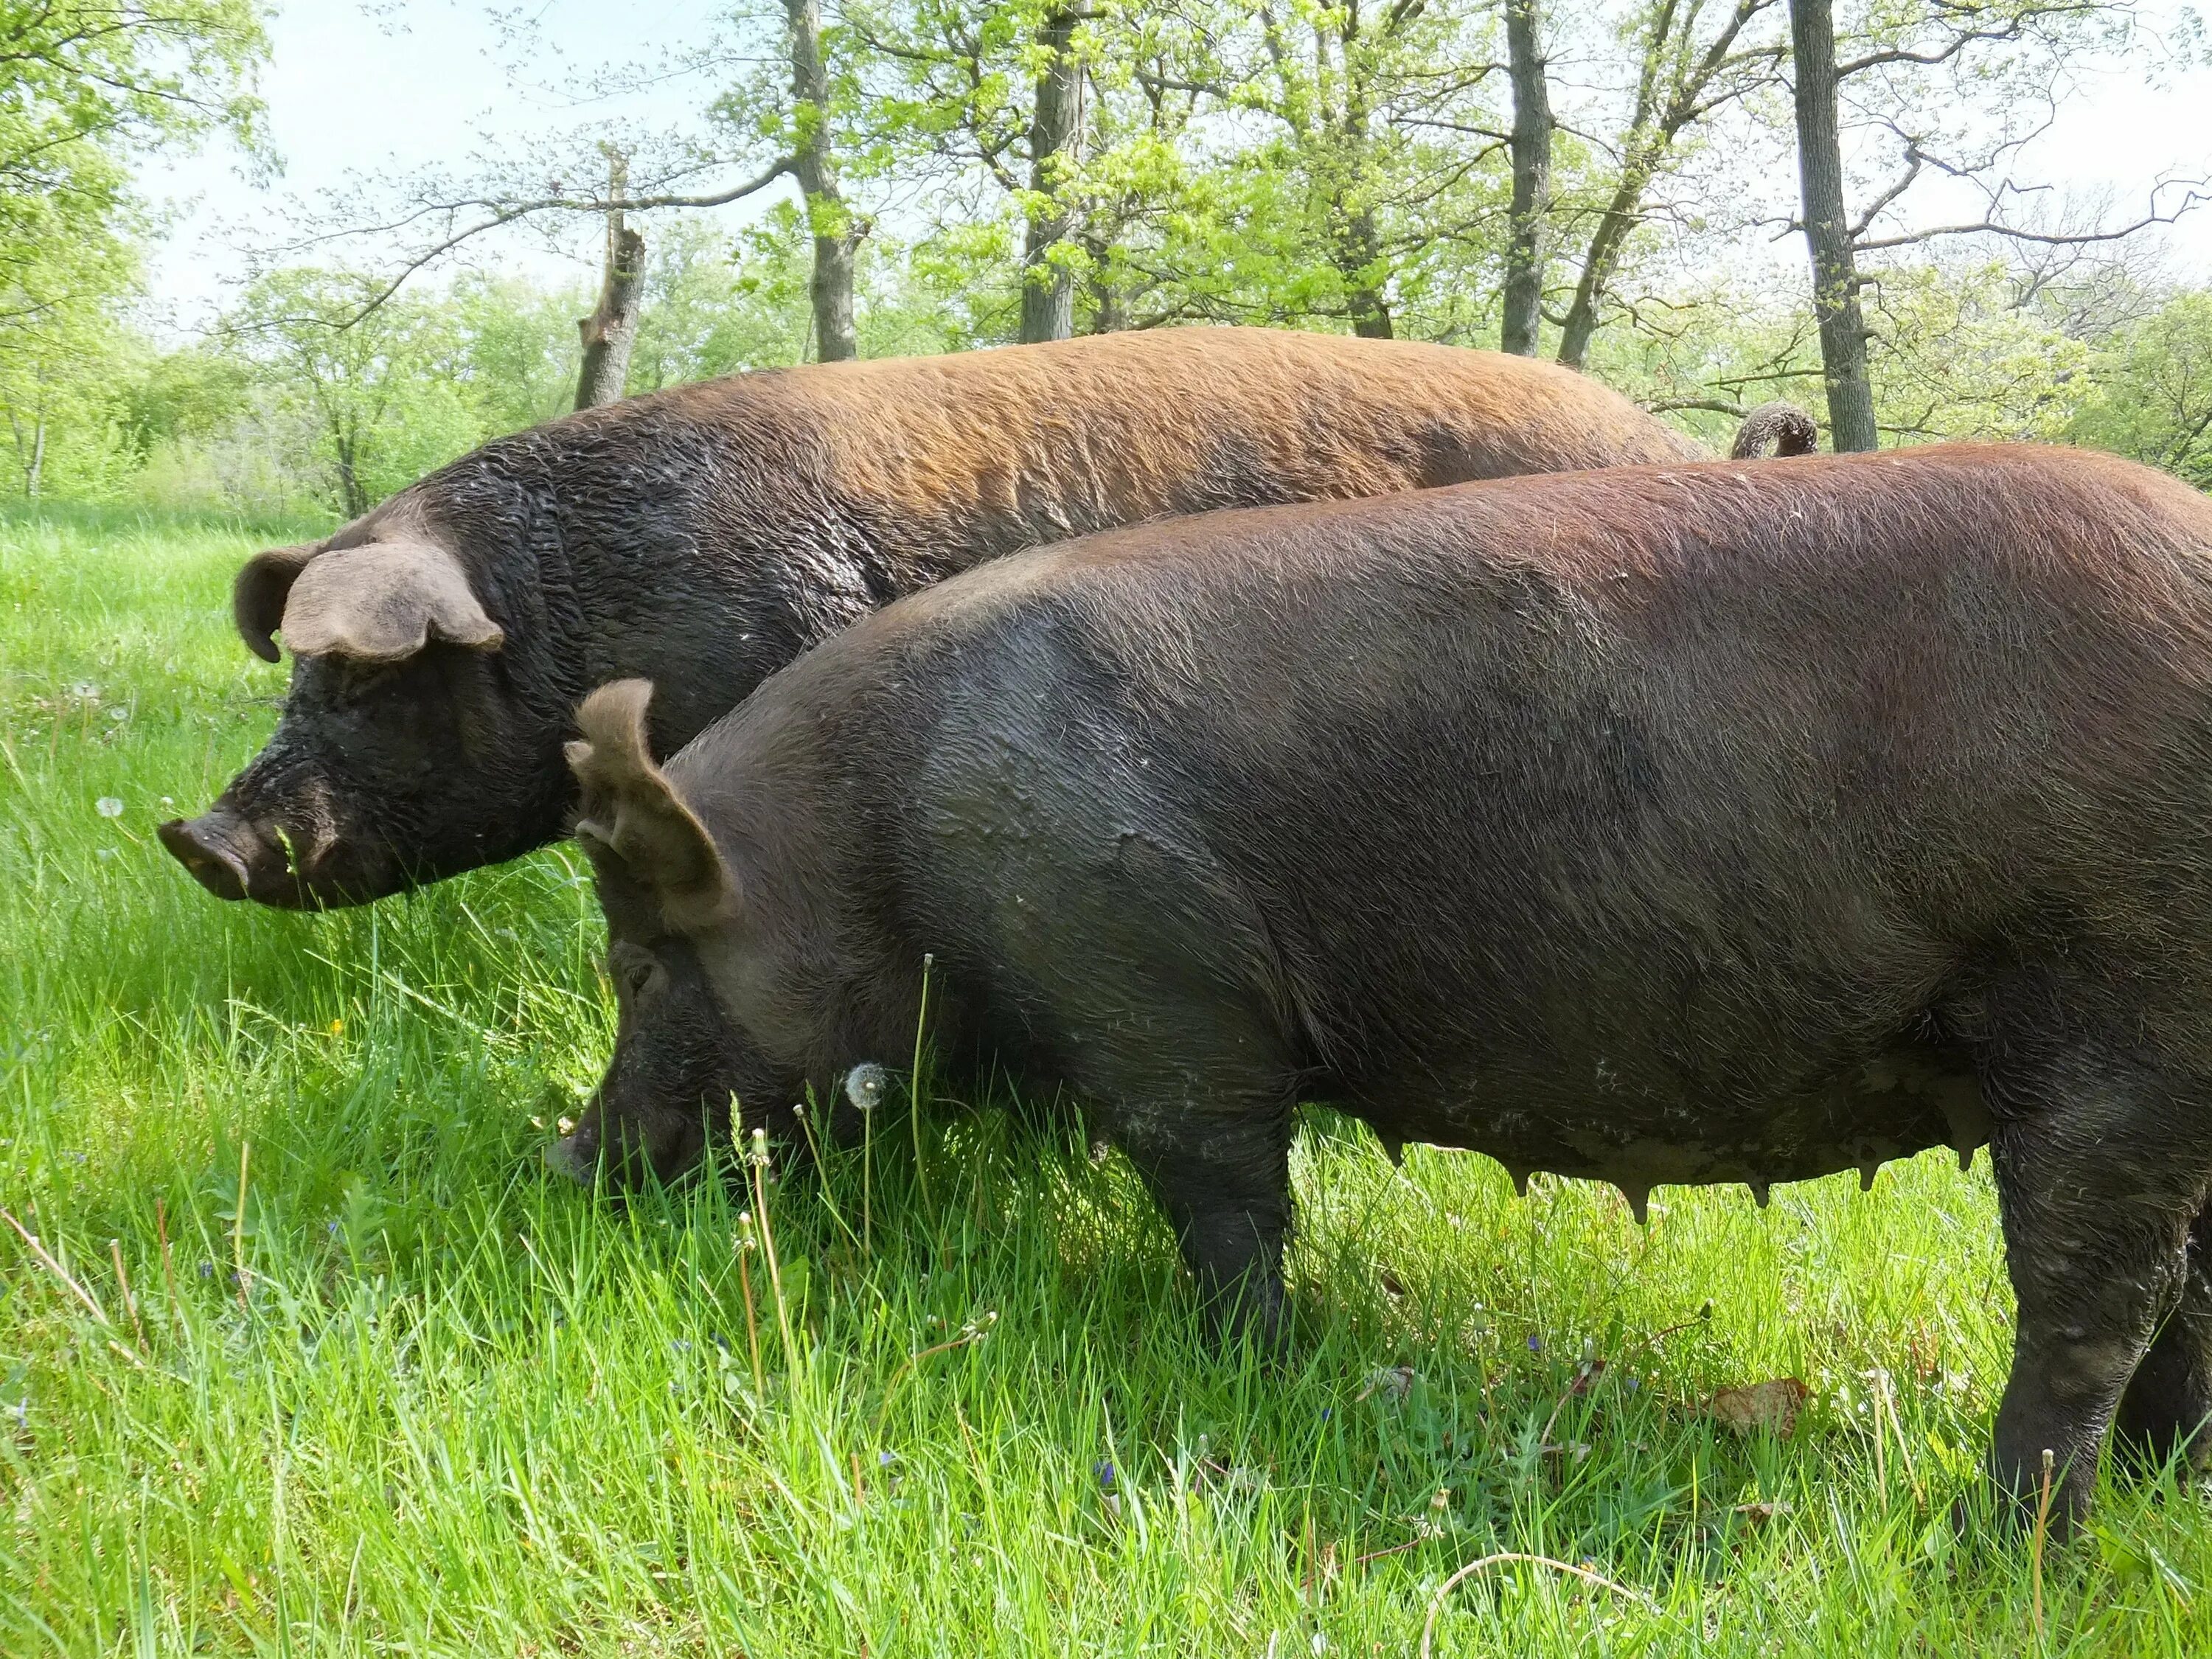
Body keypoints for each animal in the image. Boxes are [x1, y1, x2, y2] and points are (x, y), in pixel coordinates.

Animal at [549, 442, 2212, 1531]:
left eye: (637, 965)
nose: (562, 1161)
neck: (877, 833)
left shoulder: (1153, 983)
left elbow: (1226, 1196)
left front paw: (1245, 1371)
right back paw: (2165, 1481)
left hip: (2117, 1005)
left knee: (2090, 1301)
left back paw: (2006, 1544)